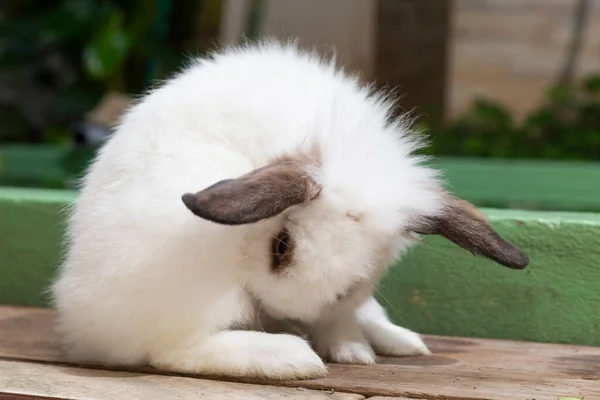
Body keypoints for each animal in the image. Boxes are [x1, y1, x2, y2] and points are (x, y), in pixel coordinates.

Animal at [52, 40, 528, 382]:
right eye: (281, 245)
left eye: (359, 274)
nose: (285, 309)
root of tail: (83, 319)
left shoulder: (346, 299)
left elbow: (341, 315)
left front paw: (353, 350)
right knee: (170, 349)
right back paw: (291, 358)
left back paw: (395, 340)